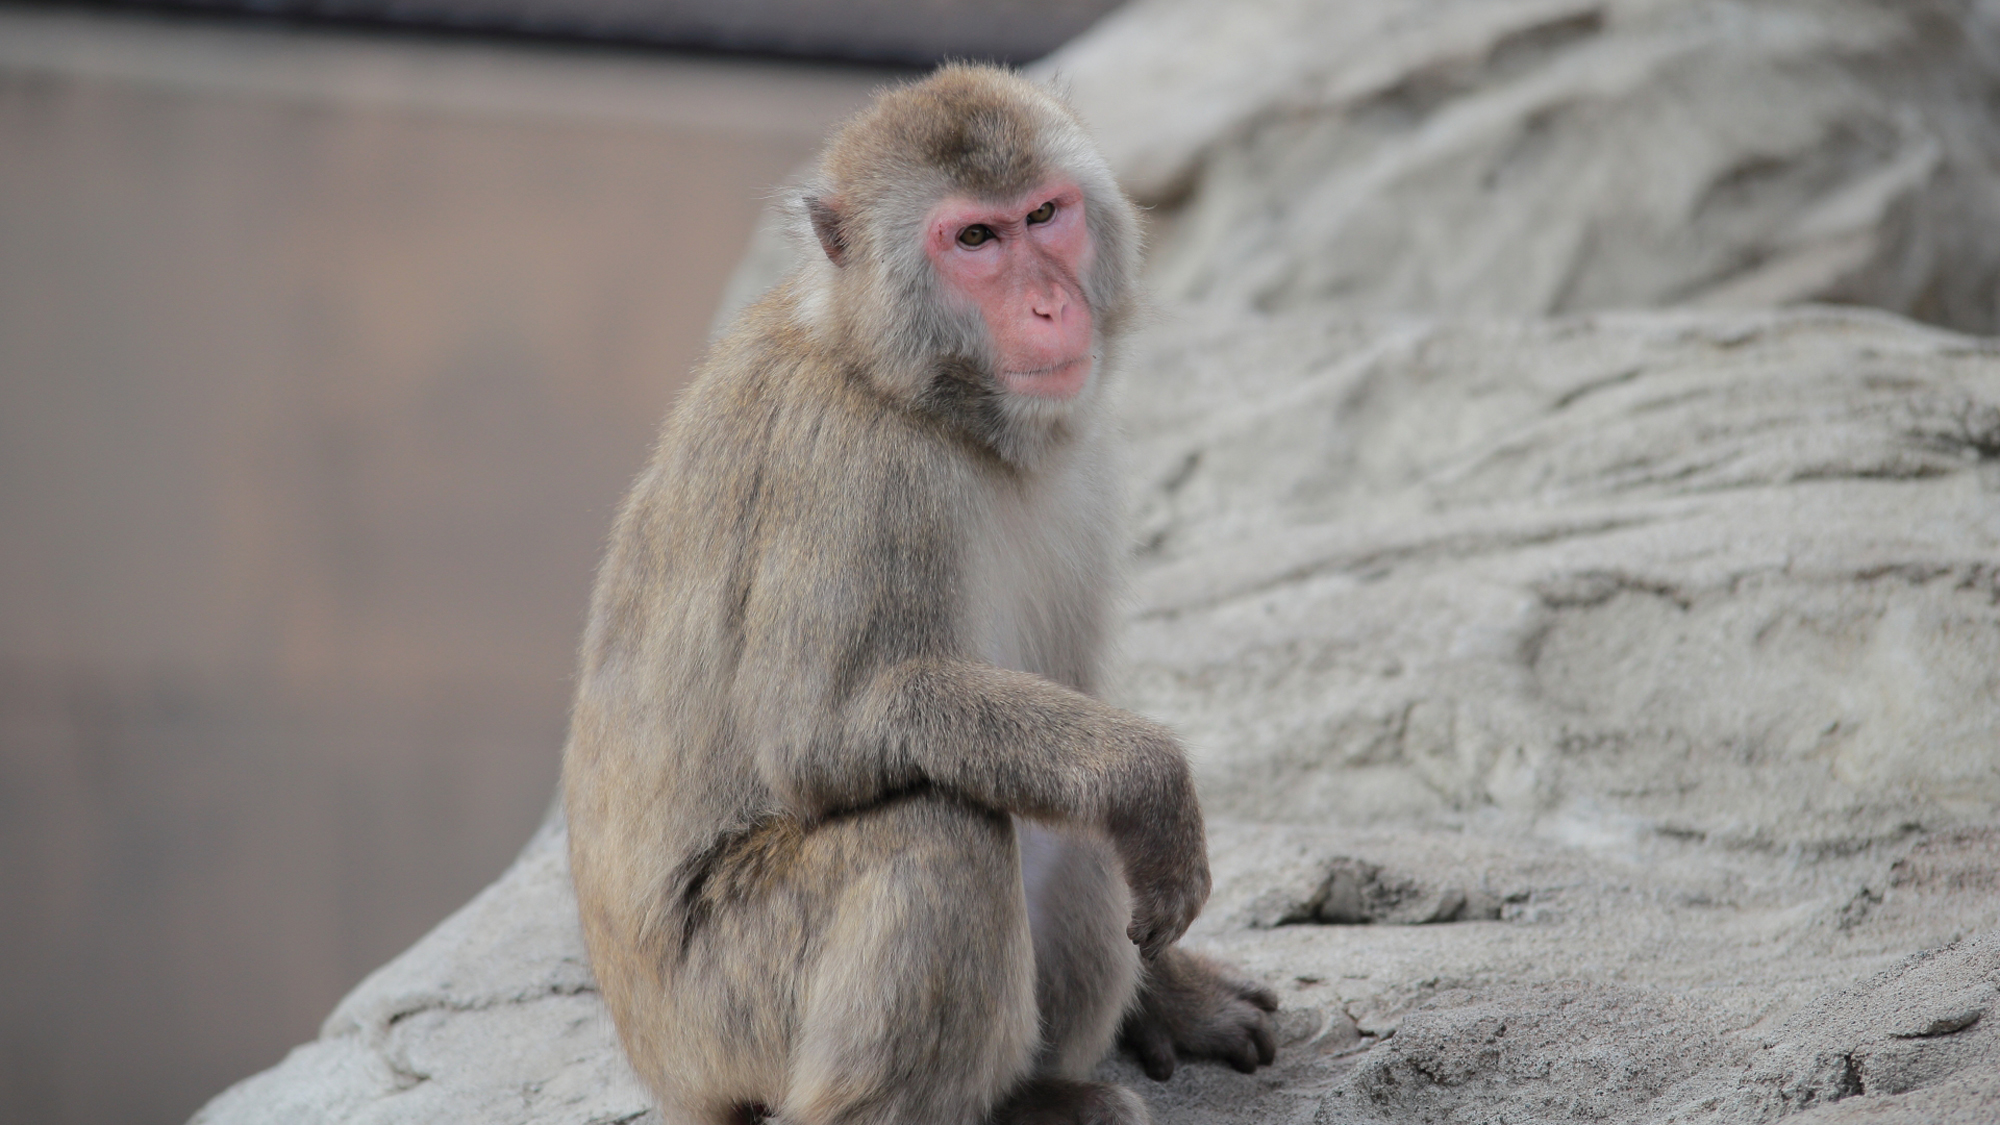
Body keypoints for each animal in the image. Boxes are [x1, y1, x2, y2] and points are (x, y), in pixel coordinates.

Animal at [564, 63, 1280, 1120]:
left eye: (1043, 215)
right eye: (974, 239)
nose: (1049, 308)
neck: (922, 394)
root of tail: (659, 1060)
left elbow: (1068, 705)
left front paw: (1177, 995)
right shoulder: (855, 471)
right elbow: (822, 723)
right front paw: (1146, 778)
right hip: (729, 1008)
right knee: (938, 828)